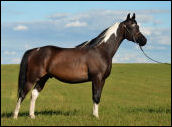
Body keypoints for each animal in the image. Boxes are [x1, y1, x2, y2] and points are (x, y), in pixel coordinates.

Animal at [13, 13, 146, 118]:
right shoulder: (97, 78)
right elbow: (96, 96)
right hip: (32, 78)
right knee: (22, 94)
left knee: (34, 94)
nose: (144, 40)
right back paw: (15, 116)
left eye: (137, 26)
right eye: (131, 26)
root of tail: (34, 51)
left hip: (43, 78)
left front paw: (95, 115)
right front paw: (96, 117)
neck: (101, 50)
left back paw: (32, 116)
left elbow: (97, 97)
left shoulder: (102, 80)